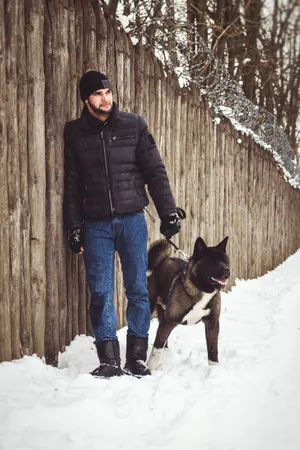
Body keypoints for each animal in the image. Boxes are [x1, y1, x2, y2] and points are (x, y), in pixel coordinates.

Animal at [147, 236, 230, 370]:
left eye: (226, 261)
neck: (201, 289)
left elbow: (213, 349)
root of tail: (160, 261)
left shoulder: (212, 323)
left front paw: (214, 370)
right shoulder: (168, 321)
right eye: (213, 262)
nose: (227, 269)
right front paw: (150, 369)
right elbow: (156, 349)